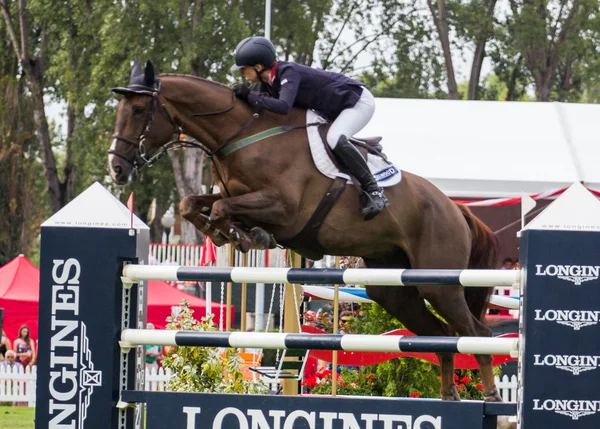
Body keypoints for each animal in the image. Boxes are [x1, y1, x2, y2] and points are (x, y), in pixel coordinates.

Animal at [108, 61, 502, 402]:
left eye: (139, 110)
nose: (116, 169)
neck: (243, 135)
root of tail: (456, 208)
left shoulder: (284, 209)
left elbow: (222, 209)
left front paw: (245, 234)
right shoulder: (232, 194)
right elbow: (193, 203)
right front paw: (230, 233)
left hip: (440, 284)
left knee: (477, 335)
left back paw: (491, 397)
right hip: (394, 288)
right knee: (442, 335)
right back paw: (449, 395)